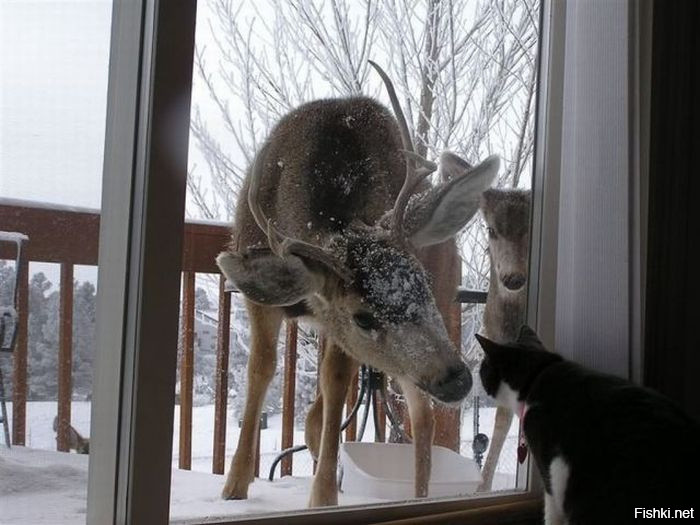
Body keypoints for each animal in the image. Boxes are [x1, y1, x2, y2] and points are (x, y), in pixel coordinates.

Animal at [217, 62, 498, 508]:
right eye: (363, 317)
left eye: (421, 284)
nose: (457, 379)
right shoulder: (264, 298)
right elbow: (262, 369)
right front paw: (235, 485)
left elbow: (334, 380)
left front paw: (322, 497)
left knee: (420, 414)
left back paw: (417, 496)